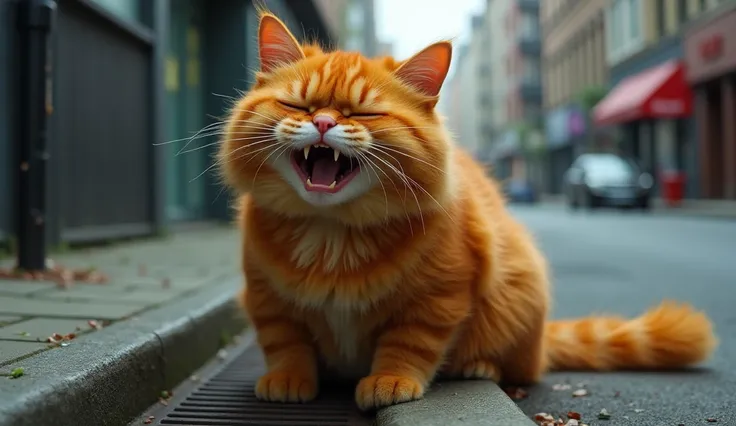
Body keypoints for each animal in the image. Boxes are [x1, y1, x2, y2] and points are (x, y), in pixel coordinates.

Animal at [217, 14, 712, 412]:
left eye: (367, 113)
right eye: (297, 105)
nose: (322, 122)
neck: (332, 231)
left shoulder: (439, 295)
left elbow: (407, 345)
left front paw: (389, 380)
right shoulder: (266, 297)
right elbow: (286, 343)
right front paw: (288, 380)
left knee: (513, 366)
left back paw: (478, 367)